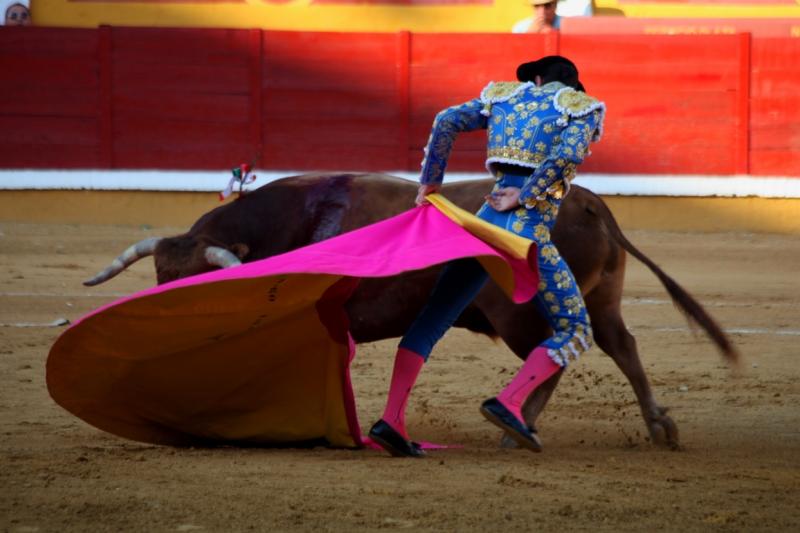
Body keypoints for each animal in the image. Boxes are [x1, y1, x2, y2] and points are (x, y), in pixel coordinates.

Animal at [84, 175, 740, 448]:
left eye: (200, 285)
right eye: (159, 279)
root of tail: (585, 200)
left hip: (520, 314)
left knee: (556, 353)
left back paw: (515, 425)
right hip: (600, 299)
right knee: (619, 347)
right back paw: (656, 426)